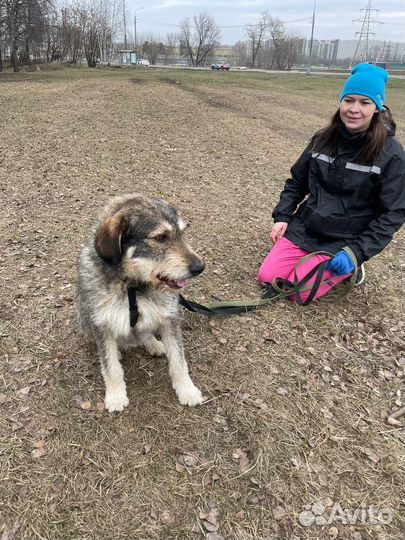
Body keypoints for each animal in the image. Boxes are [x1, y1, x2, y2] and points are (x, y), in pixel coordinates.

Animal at [74, 196, 204, 412]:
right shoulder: (103, 325)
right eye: (161, 237)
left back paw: (153, 343)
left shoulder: (169, 318)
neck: (132, 286)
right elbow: (110, 367)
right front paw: (116, 396)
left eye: (182, 233)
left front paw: (187, 390)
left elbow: (179, 360)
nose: (200, 267)